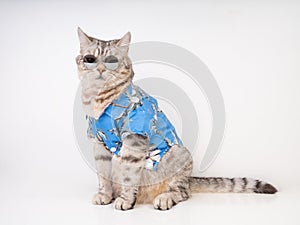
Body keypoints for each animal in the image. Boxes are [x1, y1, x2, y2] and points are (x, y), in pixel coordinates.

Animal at [75, 28, 276, 211]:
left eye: (111, 61)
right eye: (90, 59)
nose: (100, 69)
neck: (97, 100)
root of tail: (190, 179)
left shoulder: (133, 140)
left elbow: (128, 175)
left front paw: (125, 200)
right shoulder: (98, 143)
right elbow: (103, 175)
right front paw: (104, 195)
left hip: (180, 155)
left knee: (182, 191)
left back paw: (165, 198)